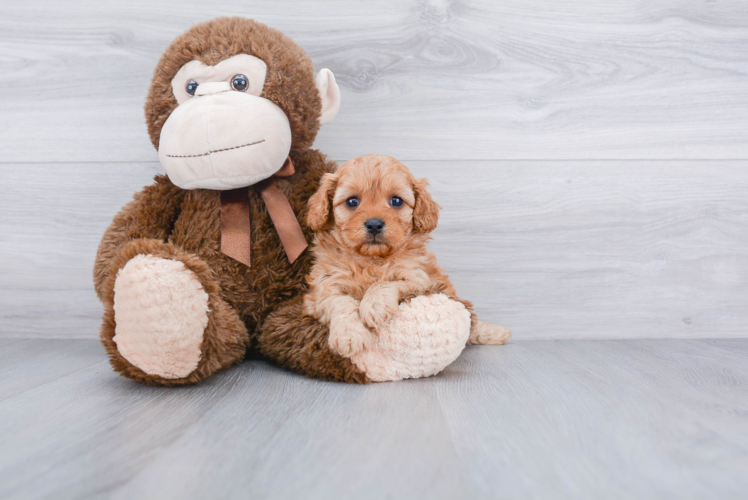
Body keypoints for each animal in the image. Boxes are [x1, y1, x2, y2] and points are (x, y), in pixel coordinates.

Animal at [302, 154, 508, 358]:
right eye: (352, 201)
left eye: (396, 201)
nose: (374, 224)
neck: (372, 259)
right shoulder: (323, 288)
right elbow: (340, 302)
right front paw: (350, 335)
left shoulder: (419, 279)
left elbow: (385, 283)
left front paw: (374, 306)